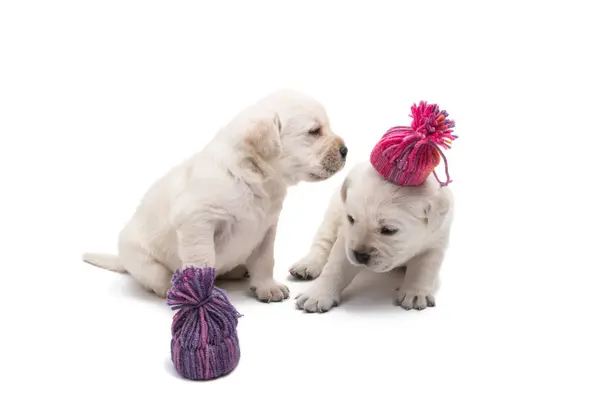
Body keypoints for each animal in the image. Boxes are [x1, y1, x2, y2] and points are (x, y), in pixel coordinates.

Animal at [82, 89, 350, 304]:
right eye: (314, 132)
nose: (345, 150)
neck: (256, 177)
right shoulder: (197, 222)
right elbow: (203, 264)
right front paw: (204, 301)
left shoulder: (267, 227)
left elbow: (265, 260)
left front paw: (266, 287)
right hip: (143, 259)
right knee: (159, 279)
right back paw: (173, 289)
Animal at [288, 161, 452, 312]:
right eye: (351, 218)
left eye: (389, 230)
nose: (359, 255)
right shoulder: (346, 239)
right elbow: (335, 267)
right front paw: (318, 294)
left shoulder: (435, 243)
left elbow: (423, 269)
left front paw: (415, 293)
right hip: (333, 215)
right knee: (323, 242)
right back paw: (307, 265)